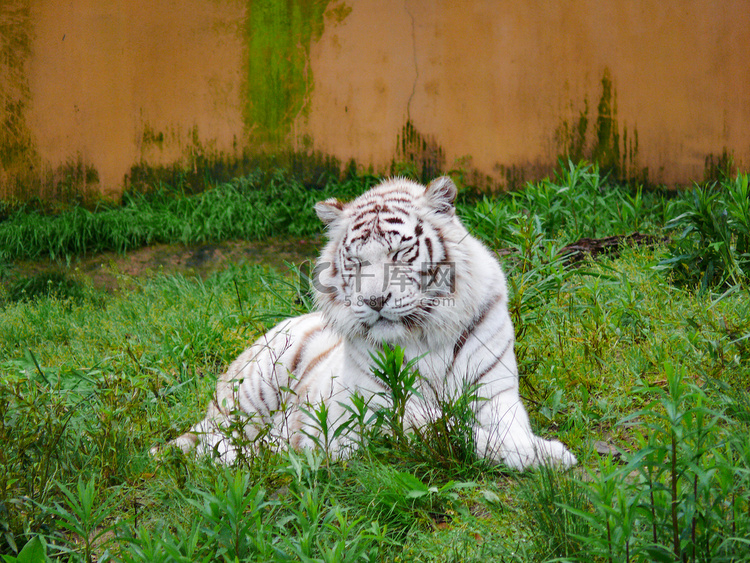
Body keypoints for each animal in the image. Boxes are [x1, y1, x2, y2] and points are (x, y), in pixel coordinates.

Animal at [159, 177, 580, 472]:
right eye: (356, 261)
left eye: (401, 252)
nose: (375, 301)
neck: (427, 334)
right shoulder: (378, 411)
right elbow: (447, 427)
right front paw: (549, 454)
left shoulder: (495, 393)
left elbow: (505, 428)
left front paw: (539, 450)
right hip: (250, 394)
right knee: (208, 441)